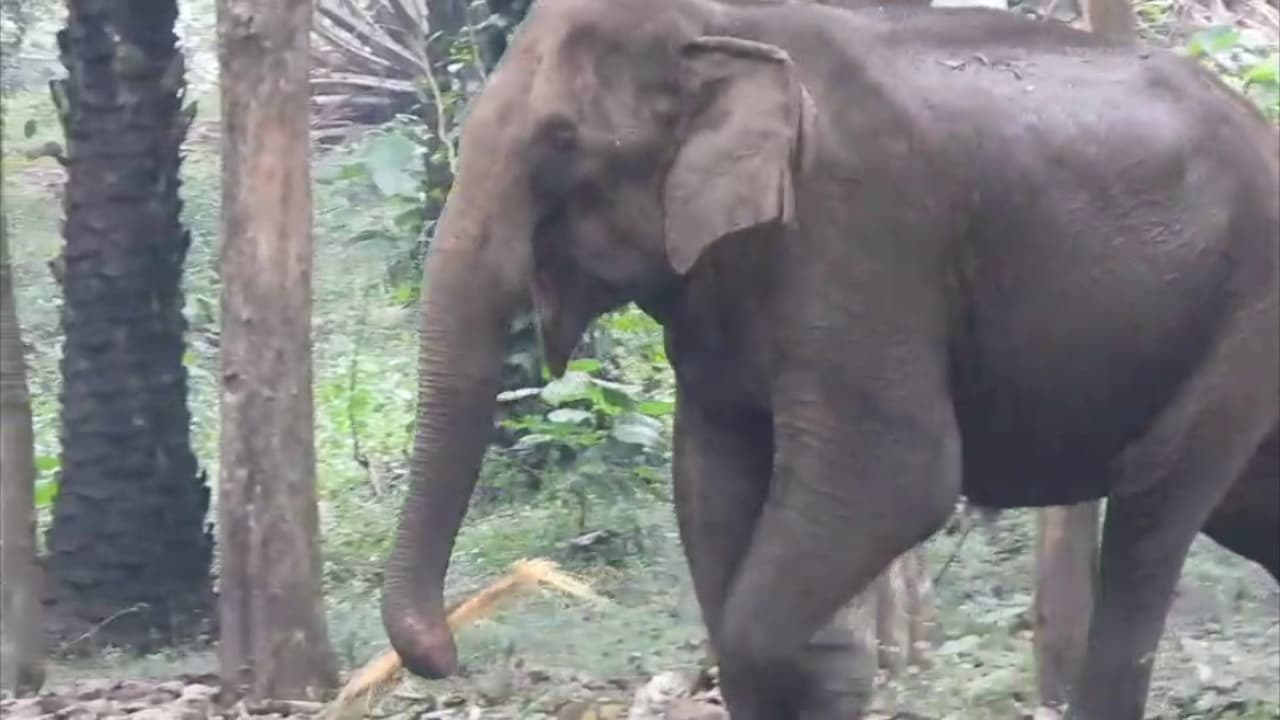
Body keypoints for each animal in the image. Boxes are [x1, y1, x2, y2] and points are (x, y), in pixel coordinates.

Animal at [377, 0, 1280, 718]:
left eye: (561, 143)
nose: (447, 657)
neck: (724, 23)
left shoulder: (861, 230)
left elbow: (900, 476)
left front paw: (829, 662)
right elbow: (709, 472)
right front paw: (830, 667)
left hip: (1248, 311)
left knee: (1154, 502)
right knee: (1248, 510)